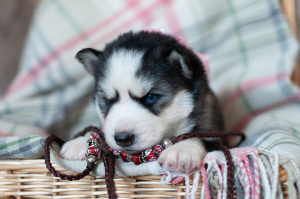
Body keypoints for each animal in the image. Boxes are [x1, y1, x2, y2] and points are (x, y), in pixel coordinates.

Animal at [60, 30, 223, 173]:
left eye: (150, 97)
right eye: (108, 100)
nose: (122, 138)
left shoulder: (217, 134)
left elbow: (200, 138)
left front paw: (182, 150)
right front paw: (81, 142)